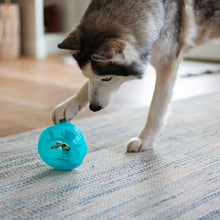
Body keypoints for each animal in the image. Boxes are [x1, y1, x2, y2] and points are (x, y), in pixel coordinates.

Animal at [52, 0, 220, 152]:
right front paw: (69, 106)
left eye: (107, 78)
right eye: (86, 75)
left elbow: (156, 108)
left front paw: (145, 139)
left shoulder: (167, 64)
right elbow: (85, 88)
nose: (94, 108)